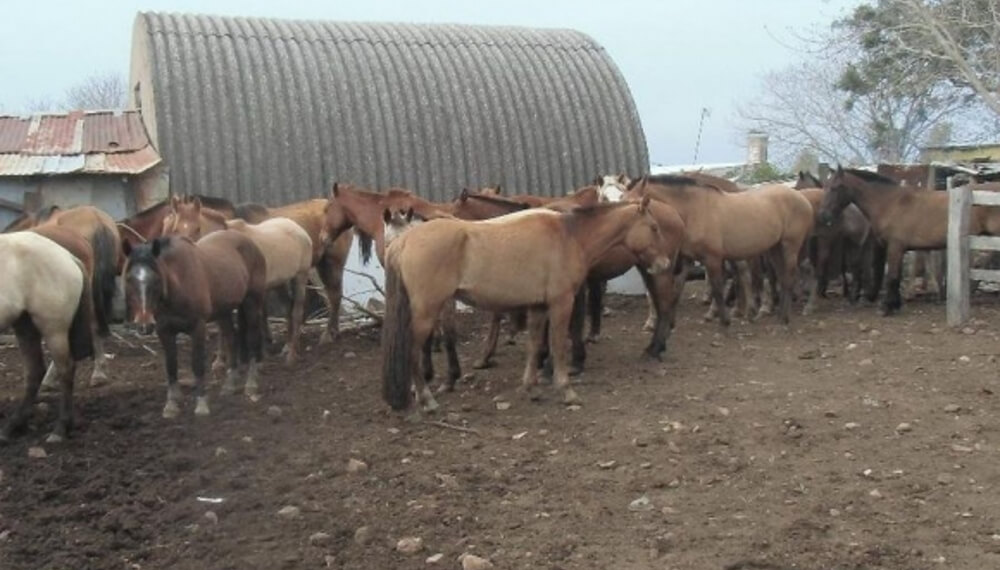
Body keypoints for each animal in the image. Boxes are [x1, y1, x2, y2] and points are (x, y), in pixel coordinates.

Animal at [123, 232, 268, 418]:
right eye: (129, 279)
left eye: (156, 279)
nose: (144, 325)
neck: (179, 283)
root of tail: (251, 243)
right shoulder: (164, 331)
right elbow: (171, 366)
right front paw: (171, 405)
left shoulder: (198, 328)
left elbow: (197, 364)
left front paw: (201, 404)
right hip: (223, 312)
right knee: (231, 339)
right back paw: (229, 385)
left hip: (252, 303)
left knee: (252, 339)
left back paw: (251, 384)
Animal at [380, 197, 672, 410]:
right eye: (654, 228)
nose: (664, 264)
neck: (569, 236)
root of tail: (403, 241)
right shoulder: (561, 303)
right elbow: (557, 345)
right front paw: (566, 390)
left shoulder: (538, 307)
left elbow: (534, 346)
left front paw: (531, 388)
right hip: (427, 312)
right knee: (414, 351)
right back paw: (427, 399)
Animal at [628, 173, 816, 324]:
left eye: (635, 205)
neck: (694, 209)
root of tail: (803, 198)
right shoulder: (688, 258)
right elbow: (678, 288)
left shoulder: (712, 258)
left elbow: (718, 289)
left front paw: (724, 320)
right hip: (775, 249)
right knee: (782, 277)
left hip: (790, 247)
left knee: (790, 277)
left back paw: (784, 318)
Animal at [816, 164, 1000, 316]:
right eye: (825, 187)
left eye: (835, 187)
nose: (823, 216)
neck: (890, 203)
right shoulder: (899, 249)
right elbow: (896, 277)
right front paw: (895, 304)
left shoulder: (895, 247)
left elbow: (892, 277)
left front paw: (886, 307)